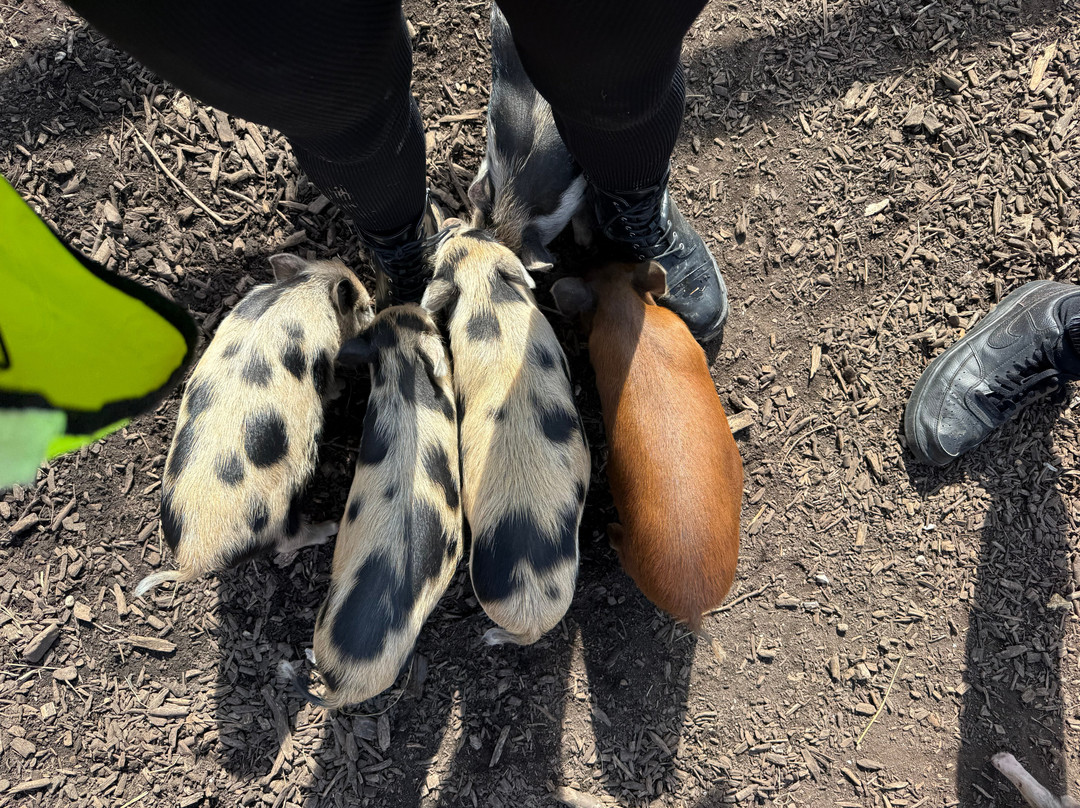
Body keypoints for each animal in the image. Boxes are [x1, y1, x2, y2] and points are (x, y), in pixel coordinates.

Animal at [135, 254, 374, 598]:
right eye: (365, 307)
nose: (376, 309)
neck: (306, 288)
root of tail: (193, 561)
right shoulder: (323, 362)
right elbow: (329, 388)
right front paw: (341, 388)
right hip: (279, 510)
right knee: (287, 540)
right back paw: (329, 527)